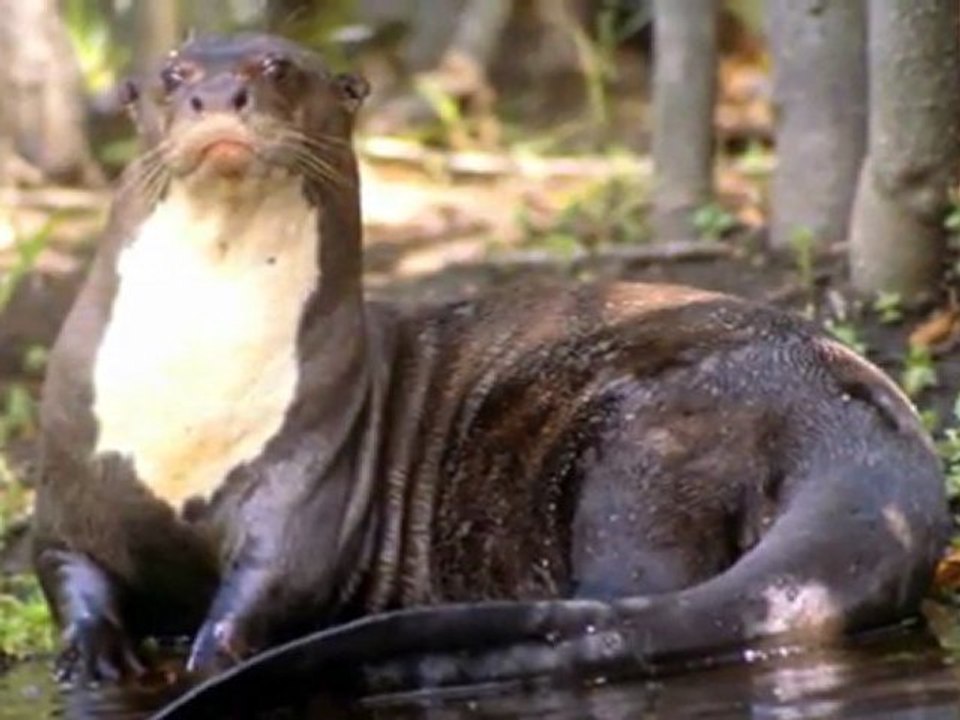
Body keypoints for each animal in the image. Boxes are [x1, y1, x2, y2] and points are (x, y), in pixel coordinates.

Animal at [33, 33, 948, 708]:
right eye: (172, 77)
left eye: (277, 69)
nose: (218, 99)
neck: (189, 398)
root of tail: (859, 440)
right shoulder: (70, 472)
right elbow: (63, 565)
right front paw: (94, 659)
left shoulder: (308, 479)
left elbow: (273, 576)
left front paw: (210, 655)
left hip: (651, 445)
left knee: (627, 592)